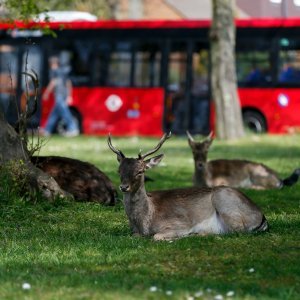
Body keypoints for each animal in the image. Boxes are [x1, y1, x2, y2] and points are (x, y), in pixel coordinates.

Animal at [107, 132, 268, 240]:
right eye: (119, 170)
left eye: (140, 171)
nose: (123, 187)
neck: (144, 222)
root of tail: (262, 217)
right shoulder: (134, 232)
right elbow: (134, 236)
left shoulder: (179, 223)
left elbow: (157, 236)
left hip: (225, 202)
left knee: (237, 230)